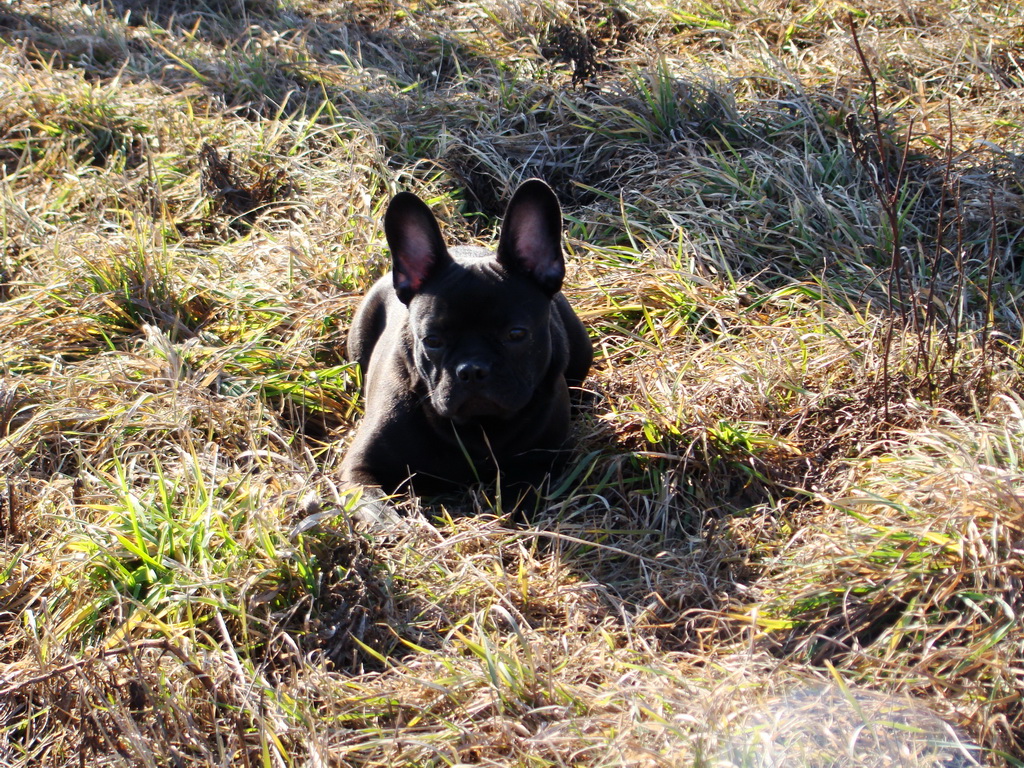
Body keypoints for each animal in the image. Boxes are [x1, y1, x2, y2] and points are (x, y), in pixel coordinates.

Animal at [339, 177, 593, 520]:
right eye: (432, 340)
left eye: (516, 334)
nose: (472, 369)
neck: (476, 426)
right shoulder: (358, 469)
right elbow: (377, 510)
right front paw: (403, 526)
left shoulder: (538, 465)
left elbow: (519, 500)